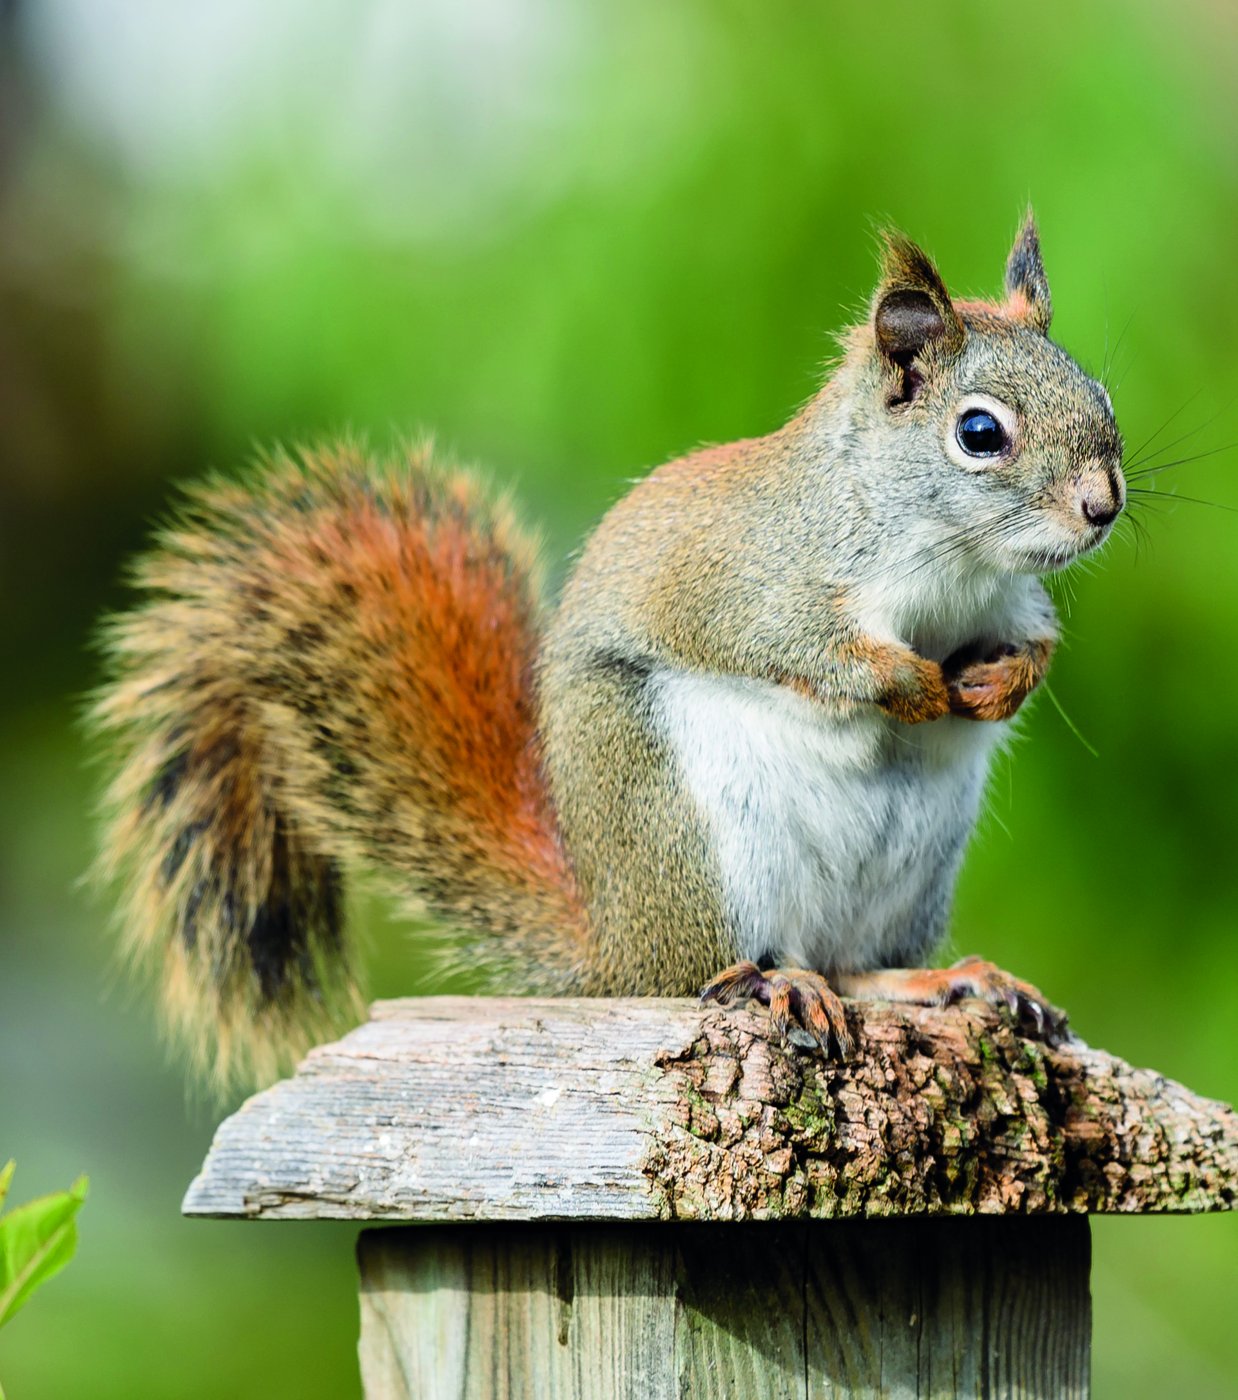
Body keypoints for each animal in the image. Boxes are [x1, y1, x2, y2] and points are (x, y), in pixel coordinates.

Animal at [92, 214, 1125, 1088]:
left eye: (1100, 393)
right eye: (979, 433)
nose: (1103, 506)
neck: (951, 561)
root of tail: (611, 945)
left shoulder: (1012, 597)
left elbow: (1037, 642)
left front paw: (999, 684)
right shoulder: (755, 578)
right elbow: (796, 645)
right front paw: (910, 684)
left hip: (912, 874)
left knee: (854, 966)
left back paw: (942, 980)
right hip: (703, 843)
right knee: (717, 971)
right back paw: (773, 982)